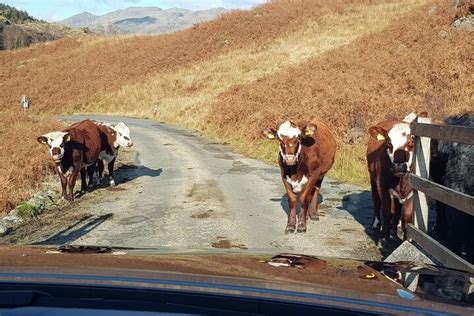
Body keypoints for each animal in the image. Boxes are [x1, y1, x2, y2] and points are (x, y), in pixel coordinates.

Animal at [366, 112, 426, 246]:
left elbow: (407, 216)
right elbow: (387, 212)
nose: (398, 166)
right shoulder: (383, 187)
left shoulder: (412, 190)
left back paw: (395, 227)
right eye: (388, 143)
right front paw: (383, 238)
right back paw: (376, 224)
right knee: (377, 202)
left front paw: (407, 239)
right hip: (373, 181)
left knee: (398, 209)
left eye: (411, 141)